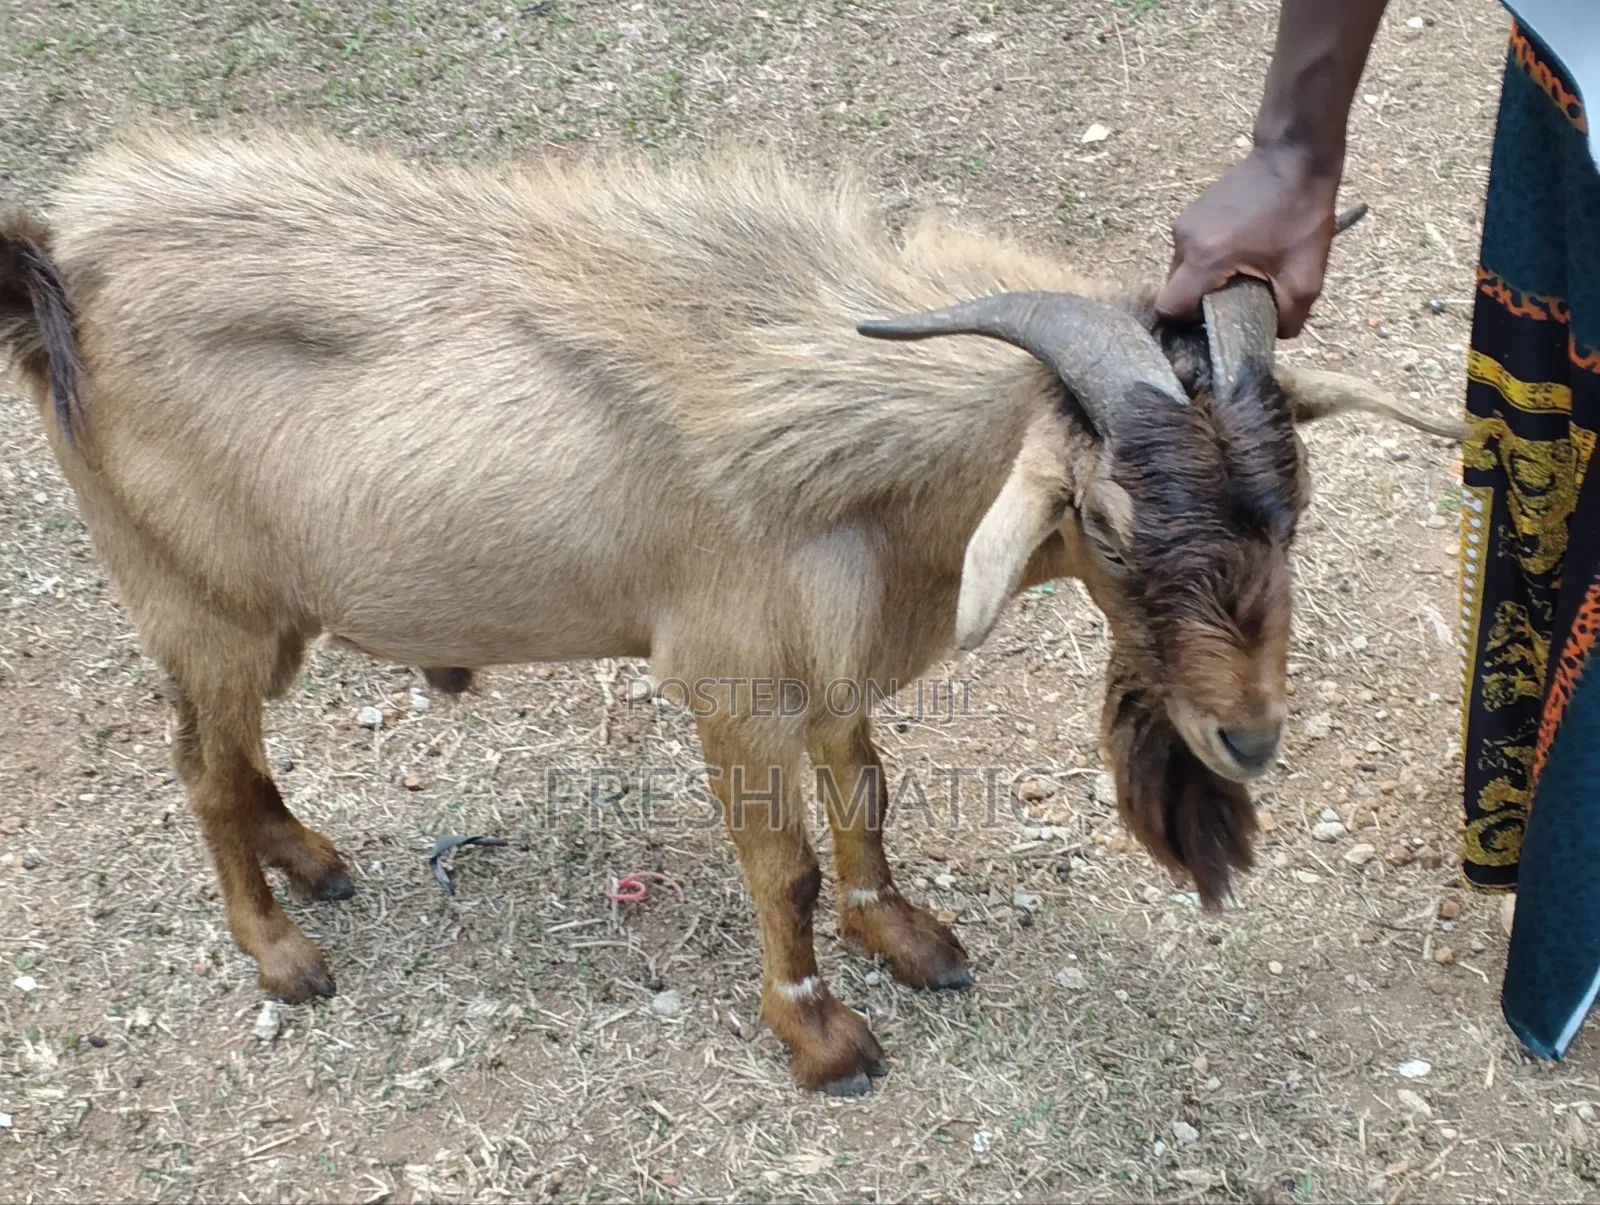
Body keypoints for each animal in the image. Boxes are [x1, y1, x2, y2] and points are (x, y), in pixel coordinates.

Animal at [0, 129, 1460, 1096]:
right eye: (1104, 520)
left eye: (1295, 496)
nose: (1249, 739)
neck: (828, 447)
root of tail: (59, 263)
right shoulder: (733, 690)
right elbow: (786, 863)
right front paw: (823, 1036)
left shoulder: (827, 668)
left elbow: (864, 798)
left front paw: (906, 938)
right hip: (200, 605)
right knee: (199, 767)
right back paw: (282, 951)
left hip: (262, 617)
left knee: (227, 754)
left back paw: (310, 859)